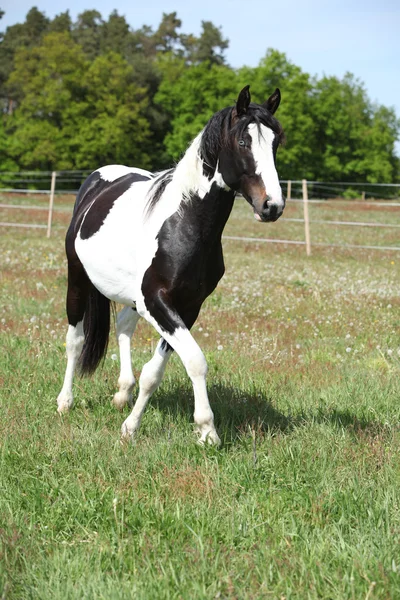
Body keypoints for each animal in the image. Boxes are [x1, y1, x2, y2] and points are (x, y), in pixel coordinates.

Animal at [57, 86, 286, 446]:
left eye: (276, 142)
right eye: (243, 142)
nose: (272, 205)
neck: (185, 222)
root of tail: (97, 180)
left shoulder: (186, 307)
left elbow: (154, 372)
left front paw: (131, 425)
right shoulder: (158, 302)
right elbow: (195, 360)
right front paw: (207, 430)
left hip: (132, 299)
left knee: (123, 326)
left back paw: (122, 393)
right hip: (78, 280)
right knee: (75, 340)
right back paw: (65, 401)